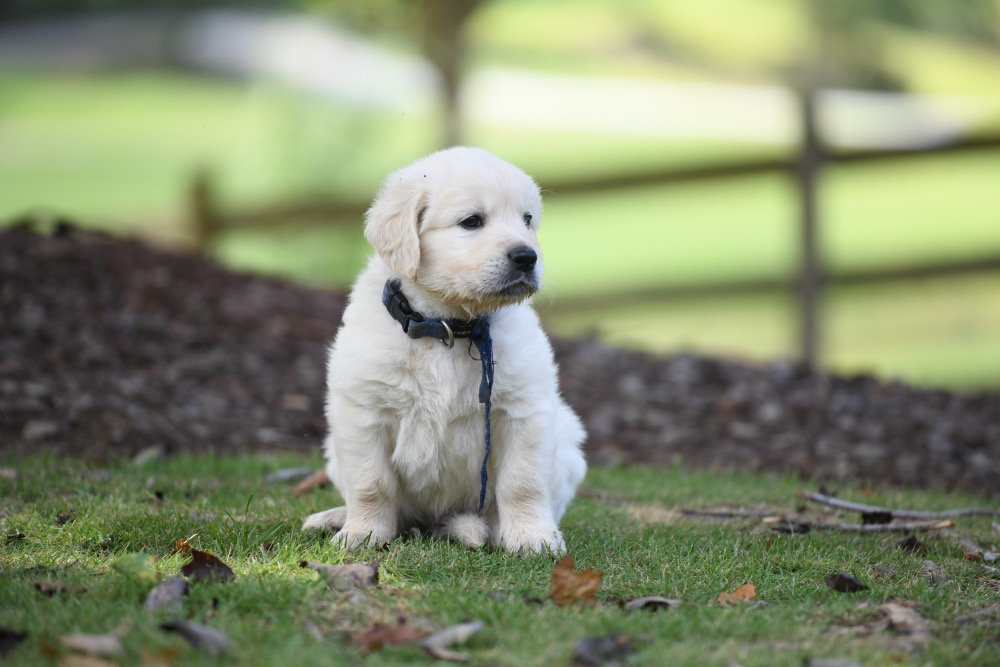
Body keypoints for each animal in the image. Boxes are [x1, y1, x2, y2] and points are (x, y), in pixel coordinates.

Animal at [302, 149, 584, 556]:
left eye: (527, 219)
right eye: (472, 221)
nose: (527, 257)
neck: (448, 326)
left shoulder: (524, 411)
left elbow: (522, 483)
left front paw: (532, 537)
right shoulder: (363, 411)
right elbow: (371, 484)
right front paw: (363, 533)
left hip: (568, 438)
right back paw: (335, 517)